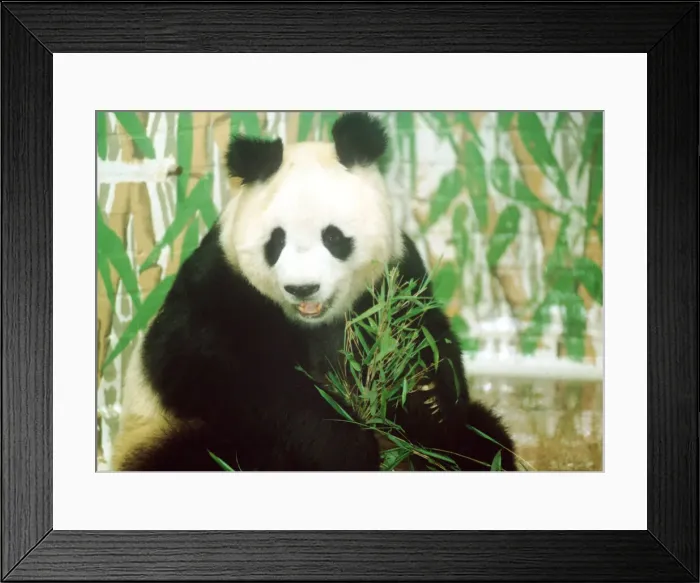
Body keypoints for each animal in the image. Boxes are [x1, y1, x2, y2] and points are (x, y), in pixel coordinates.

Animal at [110, 112, 517, 472]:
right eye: (276, 241)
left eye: (333, 237)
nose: (302, 288)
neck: (315, 323)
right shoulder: (219, 285)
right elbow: (209, 367)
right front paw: (345, 446)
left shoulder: (394, 281)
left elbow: (426, 342)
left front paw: (423, 401)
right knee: (198, 455)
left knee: (484, 437)